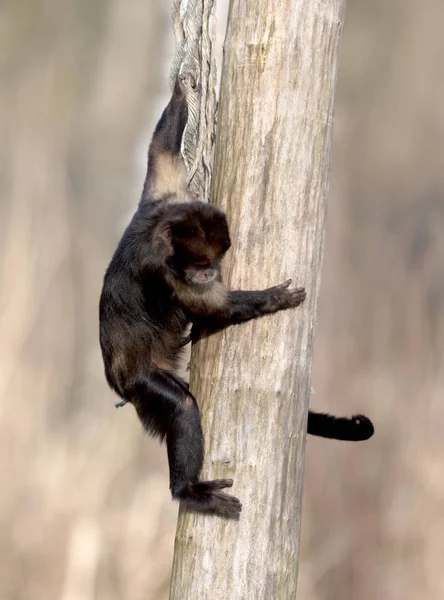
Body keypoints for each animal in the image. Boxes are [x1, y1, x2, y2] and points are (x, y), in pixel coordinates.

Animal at [99, 77, 372, 516]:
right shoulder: (164, 270)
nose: (207, 271)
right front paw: (273, 299)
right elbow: (213, 307)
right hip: (141, 382)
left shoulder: (164, 198)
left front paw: (182, 90)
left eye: (211, 259)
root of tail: (117, 380)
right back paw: (187, 490)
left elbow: (161, 151)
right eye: (198, 263)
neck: (158, 229)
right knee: (180, 406)